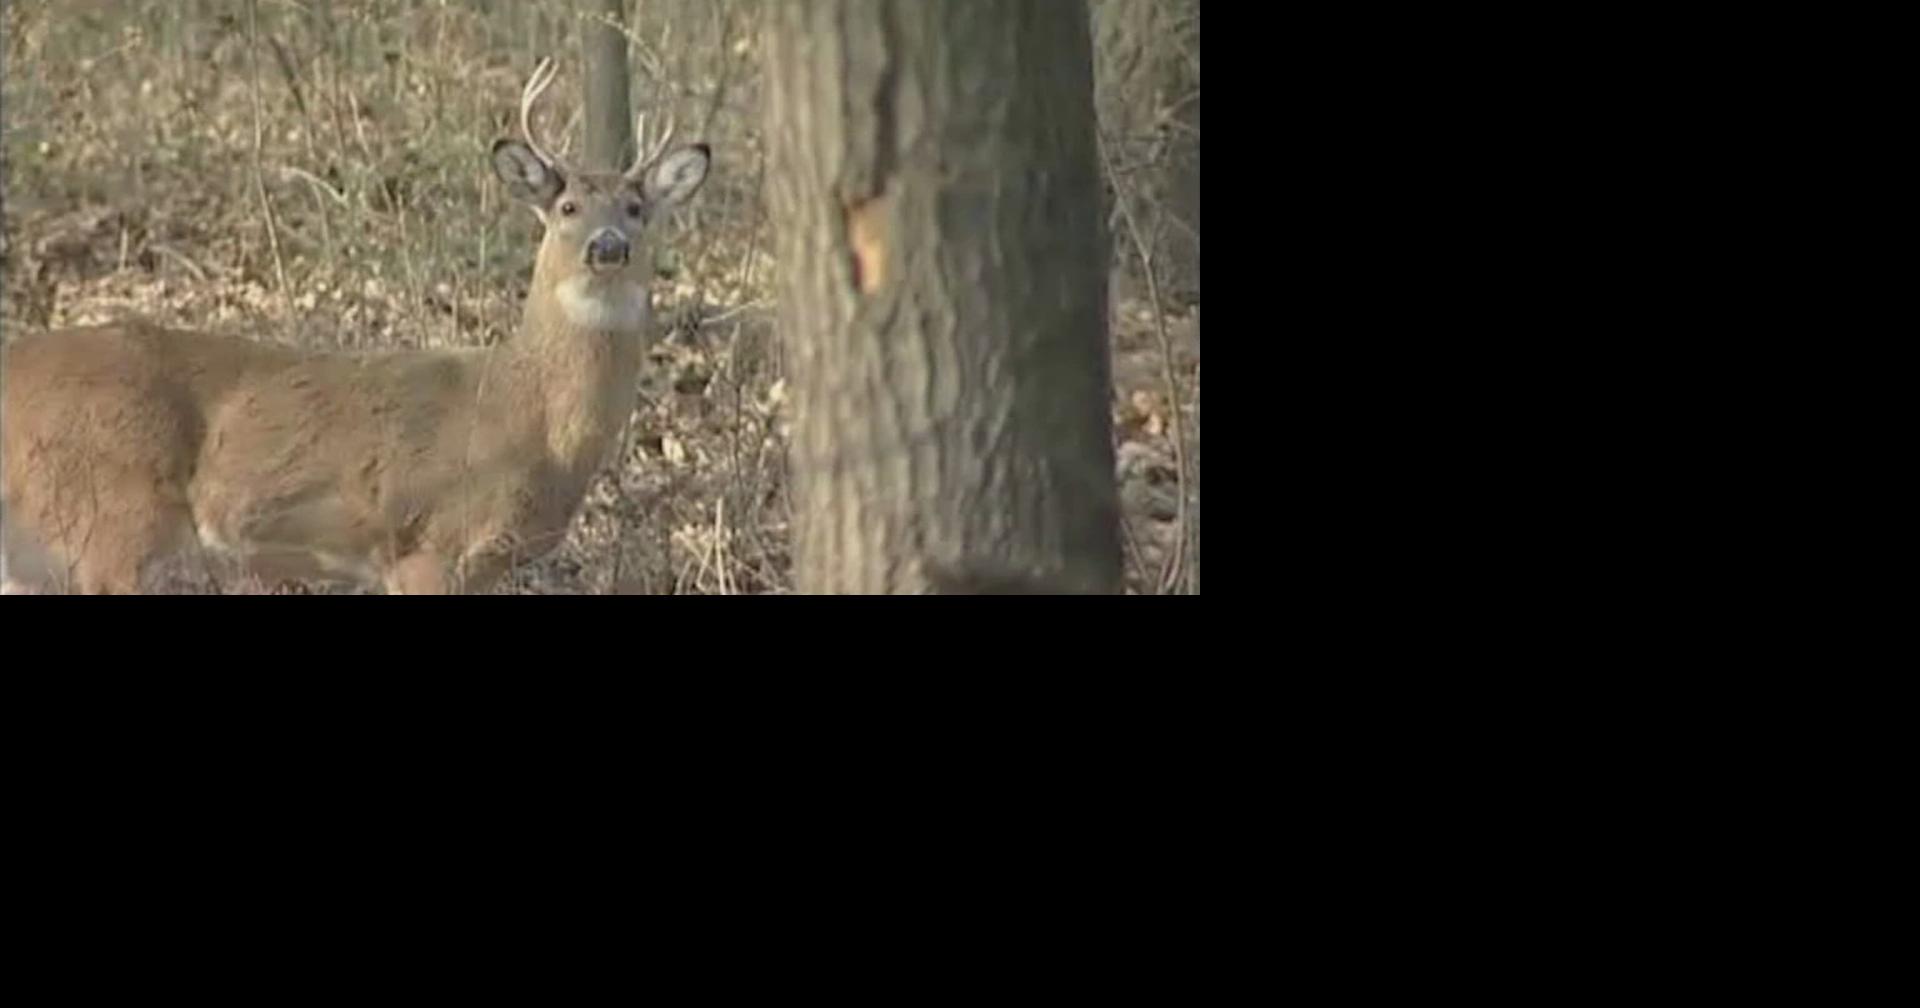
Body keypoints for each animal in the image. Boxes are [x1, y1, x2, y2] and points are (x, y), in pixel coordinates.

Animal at [0, 57, 710, 594]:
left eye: (637, 207)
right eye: (566, 207)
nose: (609, 246)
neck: (528, 416)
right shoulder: (428, 542)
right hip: (107, 518)